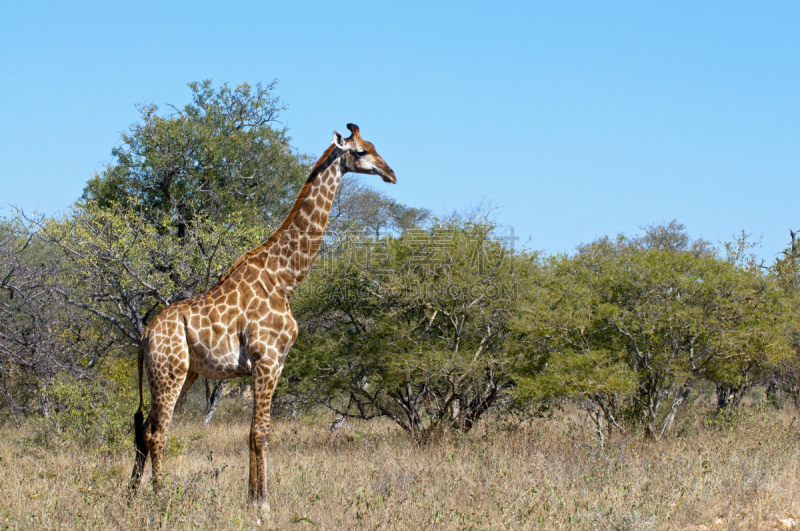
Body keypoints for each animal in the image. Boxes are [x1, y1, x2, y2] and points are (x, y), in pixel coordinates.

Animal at [129, 122, 400, 512]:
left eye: (375, 146)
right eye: (361, 151)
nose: (391, 173)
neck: (285, 278)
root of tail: (146, 333)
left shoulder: (275, 363)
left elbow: (252, 434)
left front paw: (251, 499)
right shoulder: (267, 360)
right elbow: (261, 434)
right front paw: (263, 505)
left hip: (180, 373)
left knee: (143, 430)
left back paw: (132, 495)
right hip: (170, 372)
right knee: (157, 433)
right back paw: (159, 496)